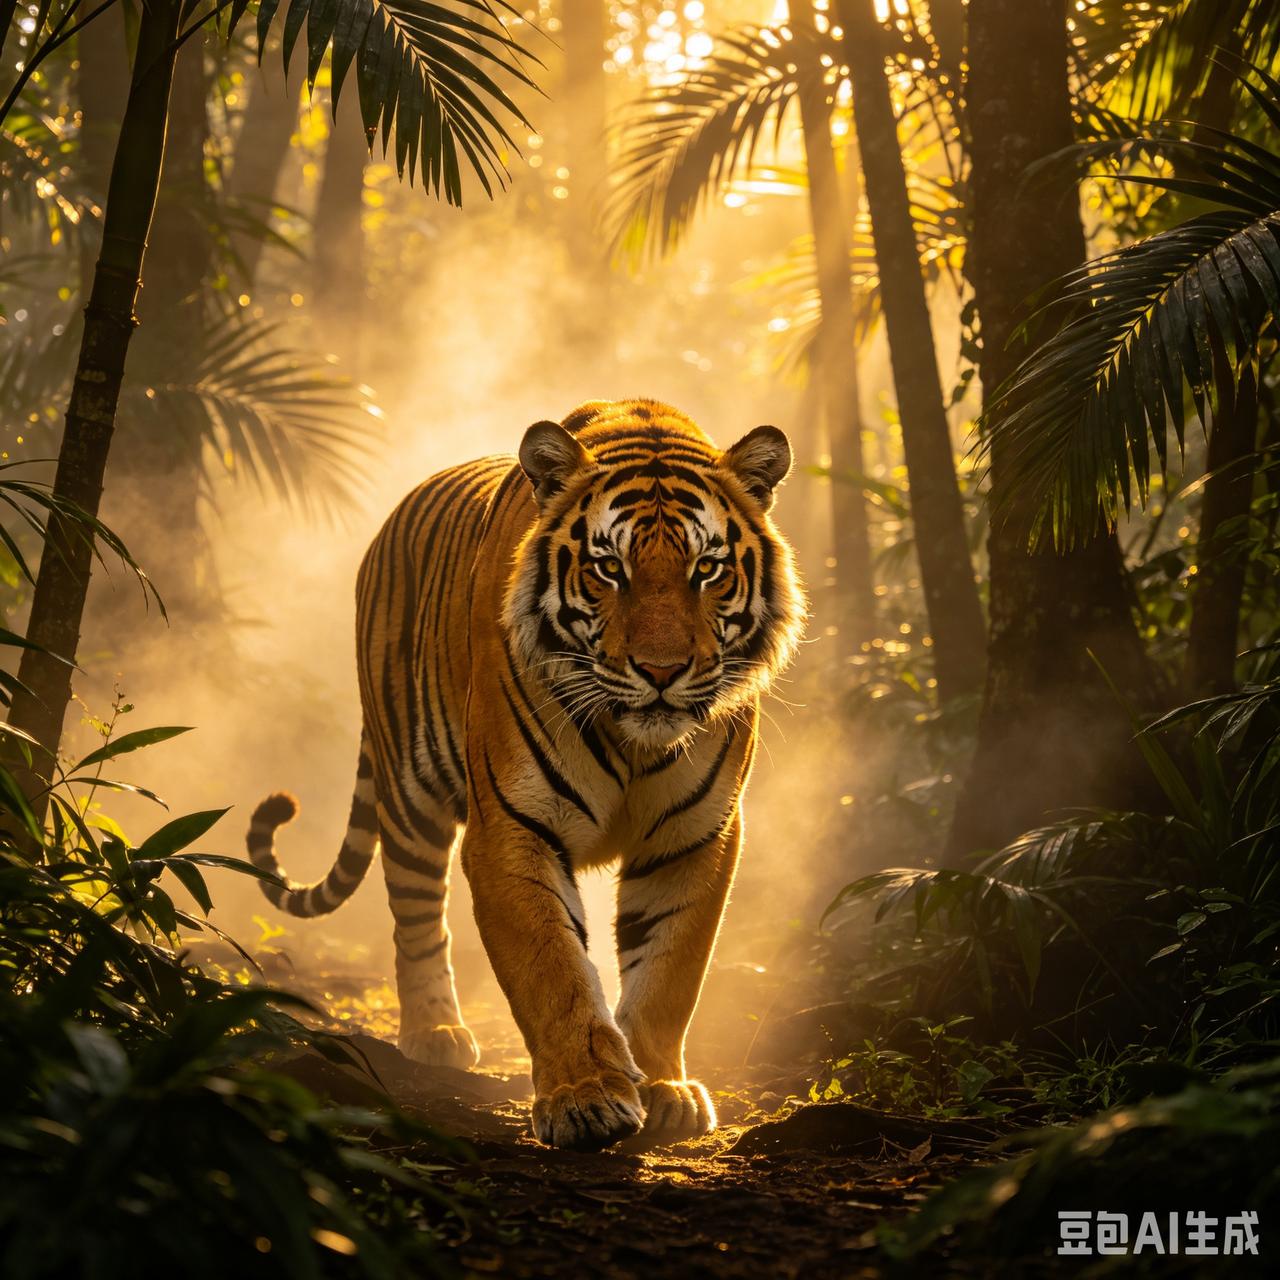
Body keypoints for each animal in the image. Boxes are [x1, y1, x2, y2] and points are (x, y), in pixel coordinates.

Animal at [247, 399, 805, 1150]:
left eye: (707, 568)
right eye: (609, 568)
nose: (661, 672)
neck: (633, 740)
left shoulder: (693, 835)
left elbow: (668, 972)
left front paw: (662, 1089)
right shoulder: (514, 826)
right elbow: (552, 965)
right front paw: (585, 1098)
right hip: (410, 791)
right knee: (416, 915)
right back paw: (436, 1032)